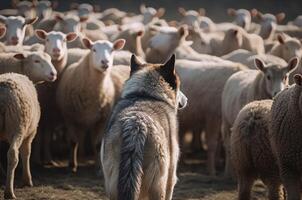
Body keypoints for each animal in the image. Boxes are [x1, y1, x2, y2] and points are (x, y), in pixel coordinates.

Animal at [56, 38, 129, 173]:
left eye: (112, 50)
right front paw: (72, 165)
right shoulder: (70, 118)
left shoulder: (103, 120)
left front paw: (99, 168)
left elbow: (98, 144)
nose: (105, 62)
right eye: (93, 49)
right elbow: (73, 141)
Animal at [101, 53, 186, 200]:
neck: (145, 94)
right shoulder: (170, 179)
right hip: (158, 186)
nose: (186, 100)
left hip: (113, 185)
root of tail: (137, 125)